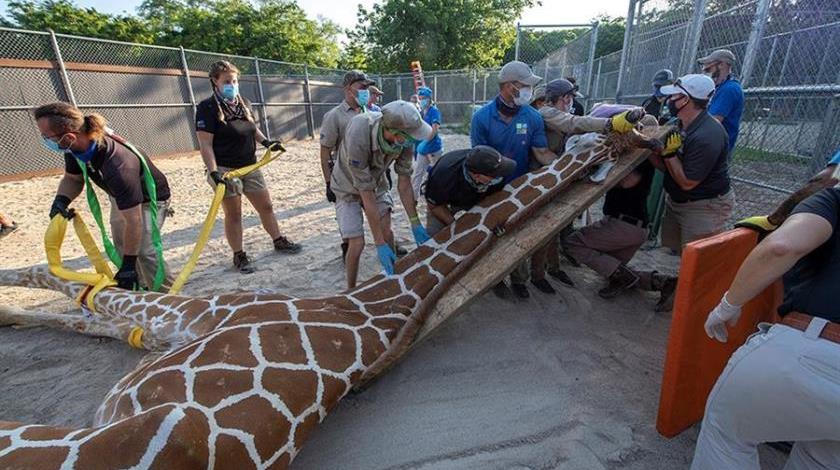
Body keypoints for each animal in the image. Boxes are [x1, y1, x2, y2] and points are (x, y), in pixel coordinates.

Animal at [0, 125, 660, 469]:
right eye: (602, 135)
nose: (649, 121)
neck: (378, 308)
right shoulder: (183, 325)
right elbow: (91, 305)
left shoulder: (198, 315)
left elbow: (87, 297)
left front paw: (16, 289)